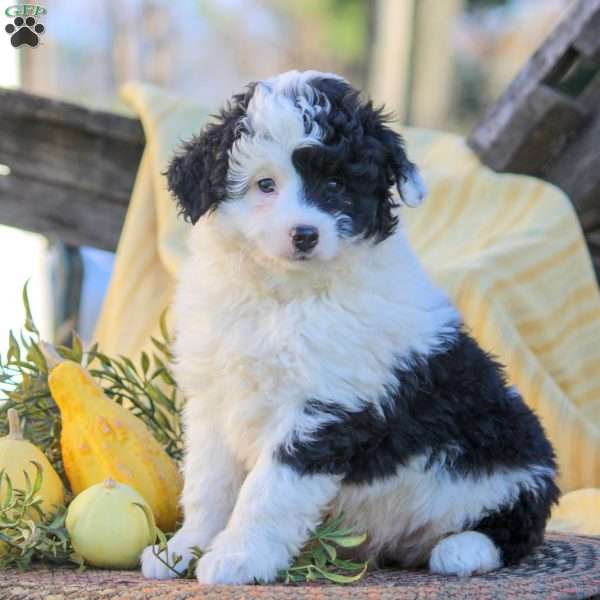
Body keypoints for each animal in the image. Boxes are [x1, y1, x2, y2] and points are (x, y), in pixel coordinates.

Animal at [141, 69, 556, 580]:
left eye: (338, 184)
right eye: (265, 185)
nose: (304, 234)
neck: (284, 297)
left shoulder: (322, 408)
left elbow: (269, 492)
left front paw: (239, 558)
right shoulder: (214, 398)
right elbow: (208, 485)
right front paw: (183, 550)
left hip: (513, 459)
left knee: (517, 524)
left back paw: (463, 550)